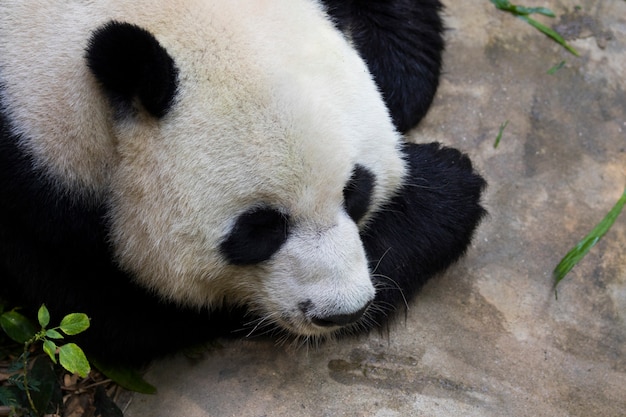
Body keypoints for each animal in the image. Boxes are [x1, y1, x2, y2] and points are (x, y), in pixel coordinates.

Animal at [0, 0, 486, 364]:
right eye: (259, 228)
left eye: (355, 193)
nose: (342, 312)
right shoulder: (35, 188)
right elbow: (122, 314)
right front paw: (449, 189)